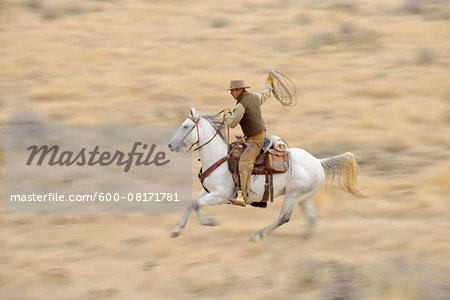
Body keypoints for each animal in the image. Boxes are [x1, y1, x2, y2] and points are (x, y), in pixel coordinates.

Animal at [167, 108, 360, 241]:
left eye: (185, 126)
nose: (170, 145)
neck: (219, 157)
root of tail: (318, 162)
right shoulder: (210, 191)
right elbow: (192, 204)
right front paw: (176, 230)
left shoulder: (222, 194)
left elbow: (197, 205)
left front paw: (209, 222)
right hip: (303, 197)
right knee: (312, 217)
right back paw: (305, 239)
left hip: (292, 195)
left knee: (284, 217)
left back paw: (258, 235)